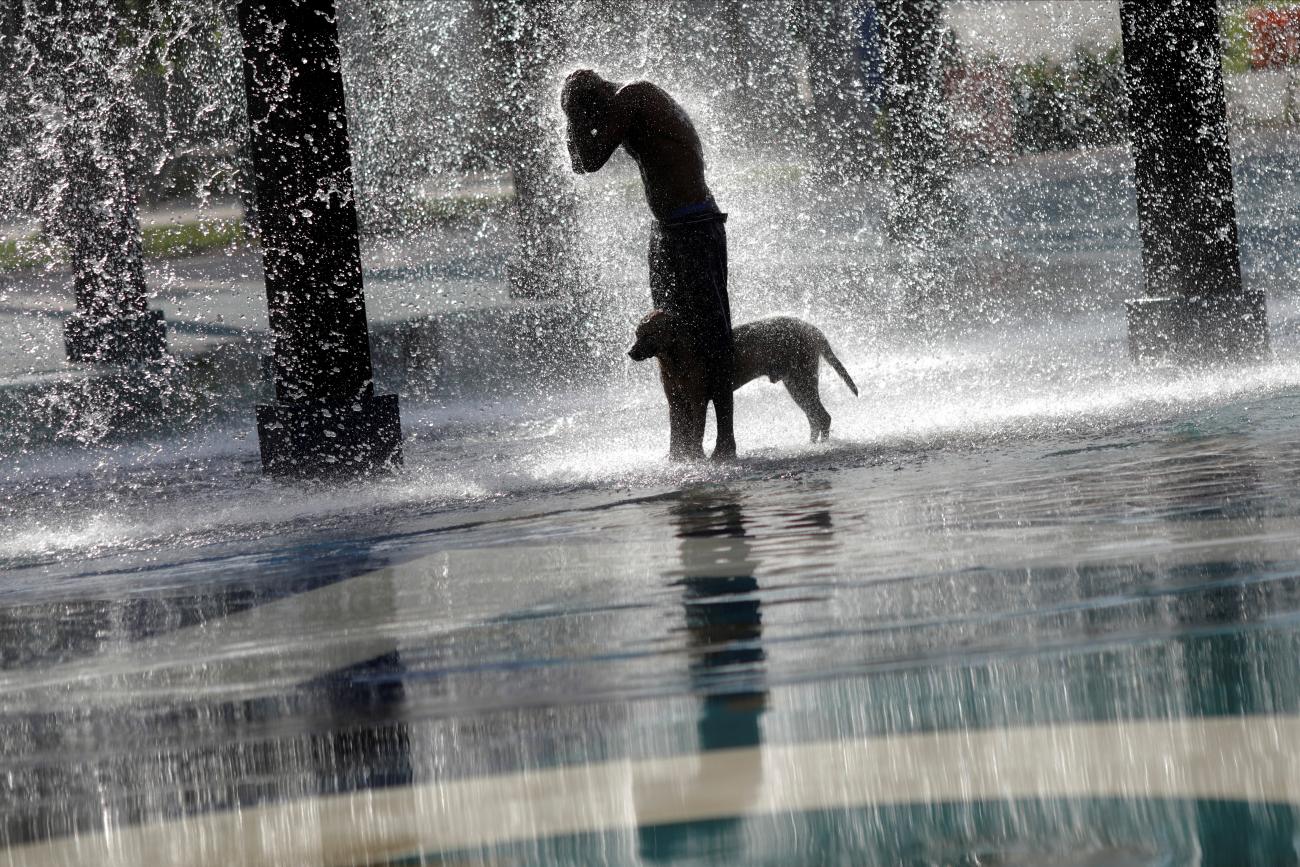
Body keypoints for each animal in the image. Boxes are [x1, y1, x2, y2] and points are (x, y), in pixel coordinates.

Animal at [626, 311, 857, 460]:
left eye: (648, 334)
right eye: (637, 334)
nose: (630, 352)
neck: (675, 360)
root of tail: (813, 329)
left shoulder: (697, 400)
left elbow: (696, 431)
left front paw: (695, 457)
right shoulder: (675, 400)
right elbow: (677, 430)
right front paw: (677, 456)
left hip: (802, 379)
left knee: (822, 416)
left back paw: (822, 447)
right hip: (795, 383)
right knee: (814, 417)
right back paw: (811, 445)